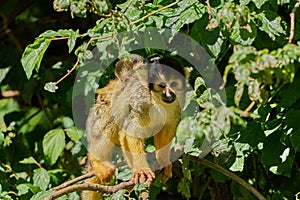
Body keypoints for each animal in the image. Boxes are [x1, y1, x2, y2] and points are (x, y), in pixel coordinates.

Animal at [81, 54, 186, 199]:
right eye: (162, 86)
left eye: (174, 84)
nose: (169, 94)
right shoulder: (140, 100)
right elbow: (130, 132)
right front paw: (141, 169)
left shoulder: (177, 104)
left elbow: (167, 127)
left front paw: (163, 160)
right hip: (96, 116)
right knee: (112, 115)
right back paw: (97, 161)